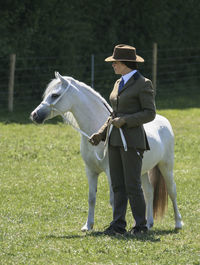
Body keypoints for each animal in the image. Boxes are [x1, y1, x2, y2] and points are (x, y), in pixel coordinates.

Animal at [30, 71, 183, 230]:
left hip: (166, 166)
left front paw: (115, 226)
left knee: (172, 191)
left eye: (54, 95)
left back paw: (178, 223)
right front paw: (88, 226)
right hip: (142, 171)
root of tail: (164, 121)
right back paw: (148, 224)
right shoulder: (90, 171)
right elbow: (91, 198)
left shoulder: (111, 172)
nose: (34, 115)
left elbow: (114, 199)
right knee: (148, 192)